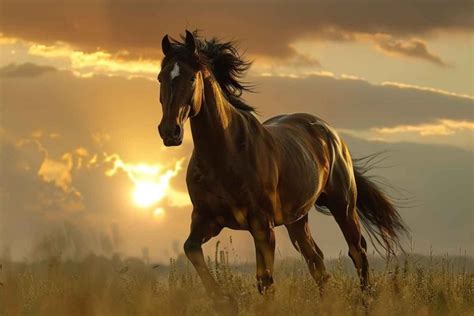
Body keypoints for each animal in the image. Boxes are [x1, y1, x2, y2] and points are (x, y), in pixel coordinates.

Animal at [156, 30, 408, 312]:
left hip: (343, 207)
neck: (224, 154)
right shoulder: (206, 219)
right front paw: (225, 300)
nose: (169, 132)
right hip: (296, 220)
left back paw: (366, 303)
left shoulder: (262, 226)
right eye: (160, 77)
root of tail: (330, 134)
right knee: (317, 262)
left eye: (191, 77)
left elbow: (265, 281)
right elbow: (191, 249)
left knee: (358, 253)